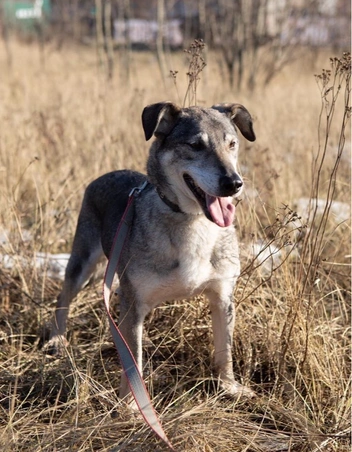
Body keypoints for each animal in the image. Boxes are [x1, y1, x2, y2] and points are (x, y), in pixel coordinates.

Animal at [47, 101, 256, 402]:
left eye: (232, 144)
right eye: (195, 145)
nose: (234, 184)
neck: (192, 221)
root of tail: (106, 174)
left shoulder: (222, 296)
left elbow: (224, 351)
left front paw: (229, 387)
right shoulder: (134, 301)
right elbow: (132, 363)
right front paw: (132, 405)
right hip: (85, 264)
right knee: (64, 295)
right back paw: (56, 339)